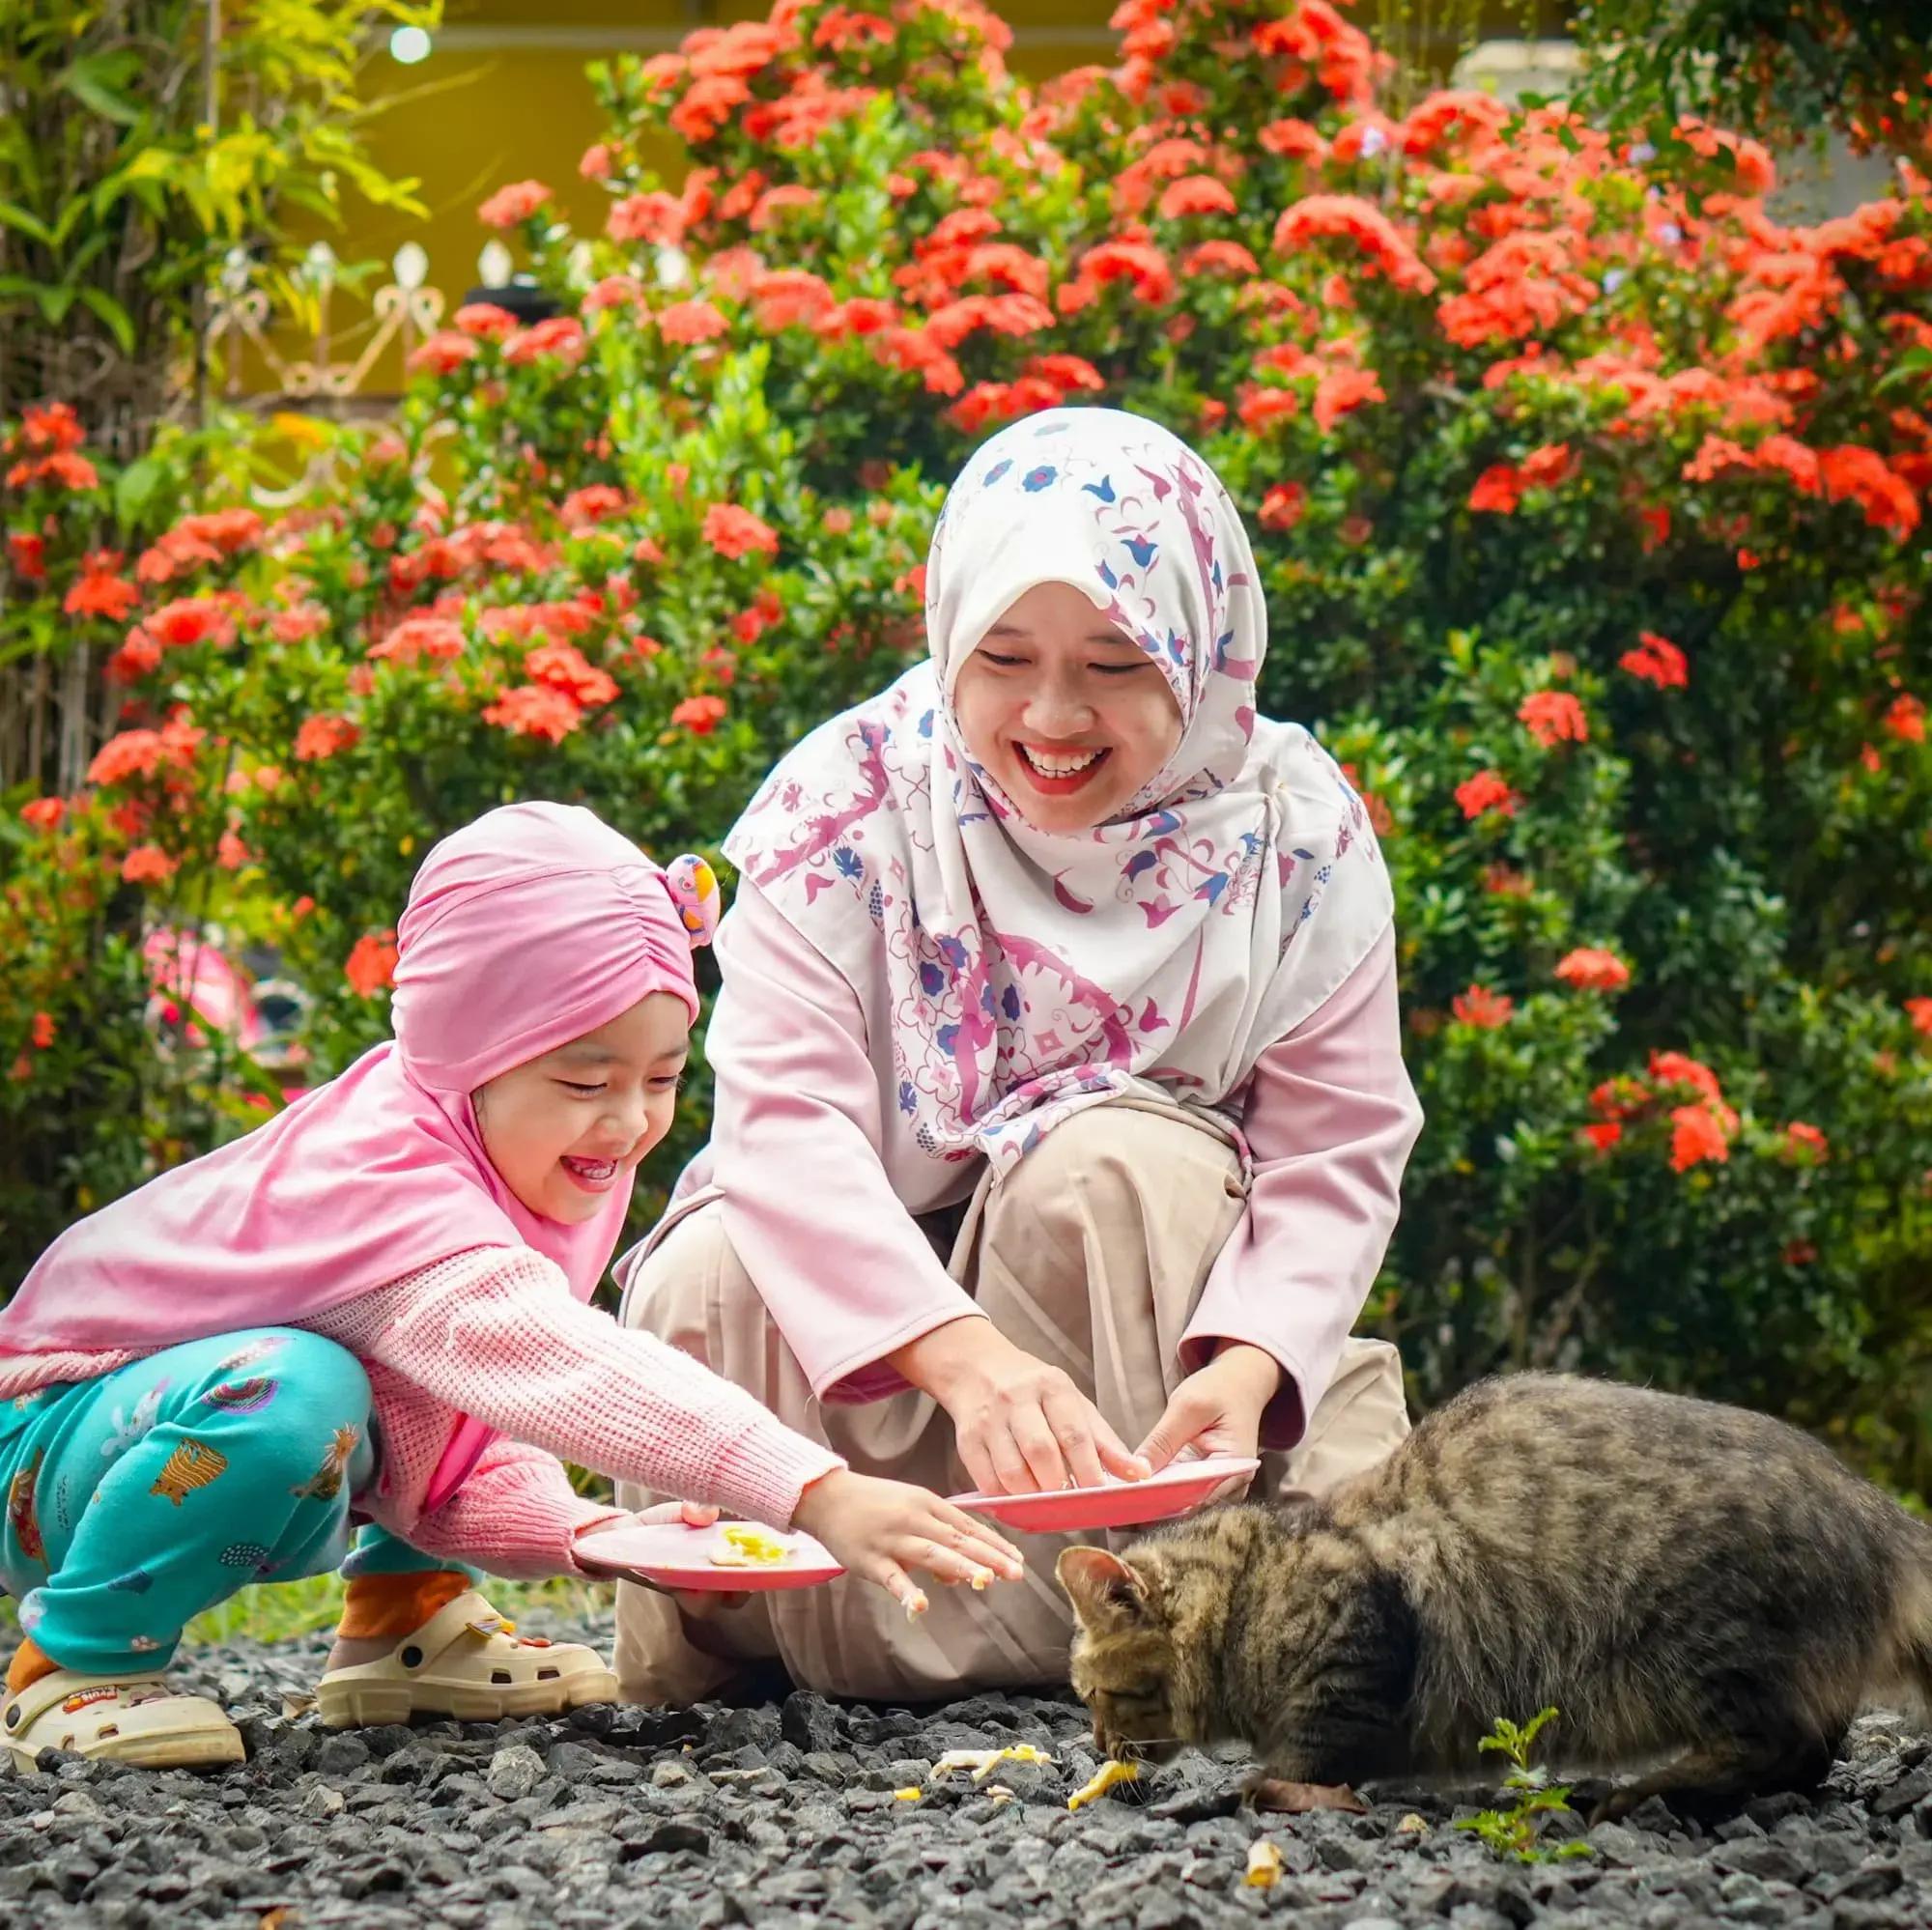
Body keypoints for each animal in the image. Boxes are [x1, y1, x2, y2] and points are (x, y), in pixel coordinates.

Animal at [1059, 1376, 1932, 1808]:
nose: (1097, 1746)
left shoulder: (1360, 1634)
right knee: (1813, 1754)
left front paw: (1267, 1783)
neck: (1255, 1589)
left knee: (1784, 1745)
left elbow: (1318, 1744)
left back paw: (1646, 1792)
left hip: (1704, 1643)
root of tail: (1874, 1507)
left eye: (1096, 1695)